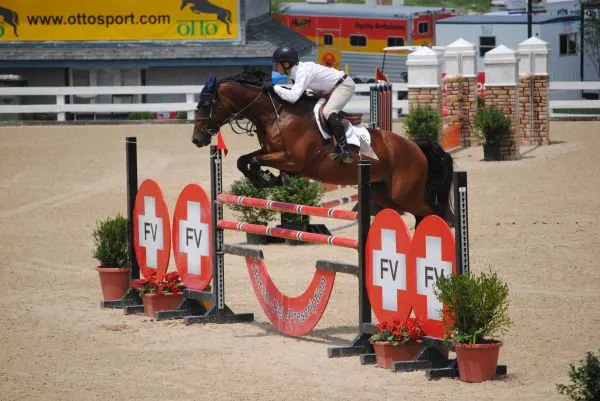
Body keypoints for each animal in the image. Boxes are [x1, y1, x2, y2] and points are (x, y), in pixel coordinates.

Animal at [190, 71, 452, 225]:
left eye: (206, 105)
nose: (197, 139)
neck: (275, 114)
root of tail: (415, 146)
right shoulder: (270, 151)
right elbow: (243, 160)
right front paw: (267, 179)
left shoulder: (292, 159)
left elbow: (254, 161)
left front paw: (268, 178)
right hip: (386, 195)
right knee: (421, 215)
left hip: (405, 194)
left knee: (434, 213)